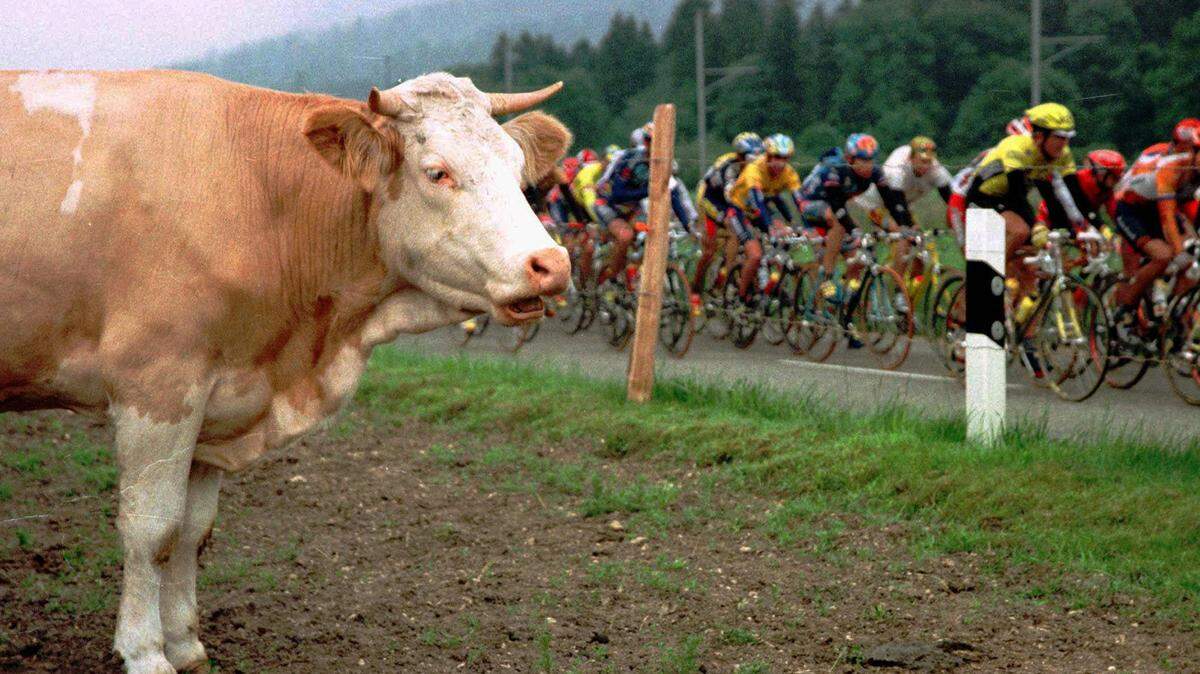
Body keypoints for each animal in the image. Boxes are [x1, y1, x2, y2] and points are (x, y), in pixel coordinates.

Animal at [0, 69, 572, 673]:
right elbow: (151, 530)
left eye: (516, 165)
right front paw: (146, 652)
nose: (552, 264)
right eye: (437, 171)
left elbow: (191, 531)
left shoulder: (220, 399)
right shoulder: (157, 385)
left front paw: (184, 644)